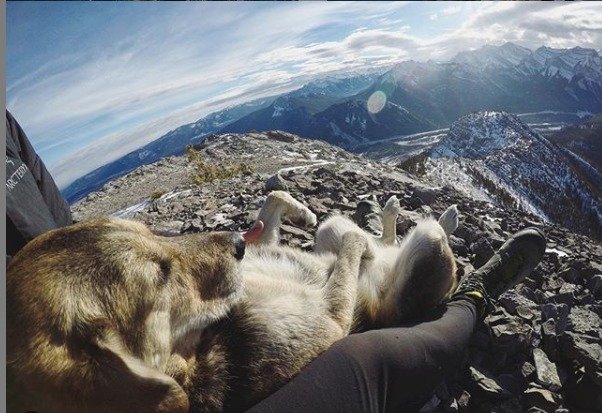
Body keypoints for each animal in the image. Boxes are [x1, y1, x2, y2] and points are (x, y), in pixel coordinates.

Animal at [4, 190, 458, 412]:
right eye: (160, 275)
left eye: (151, 231)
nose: (238, 243)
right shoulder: (332, 316)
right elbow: (349, 250)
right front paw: (357, 246)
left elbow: (273, 202)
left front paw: (299, 211)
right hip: (427, 252)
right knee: (420, 236)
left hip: (349, 235)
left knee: (366, 234)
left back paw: (392, 218)